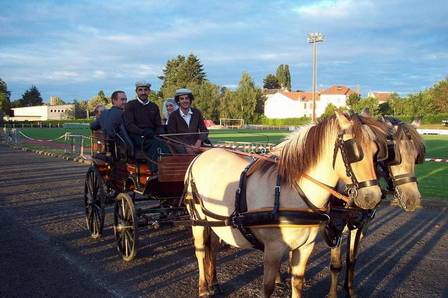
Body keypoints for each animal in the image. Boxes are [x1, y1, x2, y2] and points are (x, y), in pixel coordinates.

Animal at [184, 111, 390, 296]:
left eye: (376, 151)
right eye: (353, 150)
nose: (372, 197)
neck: (293, 192)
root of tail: (200, 156)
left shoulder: (305, 247)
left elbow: (297, 283)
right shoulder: (273, 250)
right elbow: (267, 288)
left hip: (214, 221)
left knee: (213, 248)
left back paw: (214, 282)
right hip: (197, 220)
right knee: (201, 252)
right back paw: (204, 289)